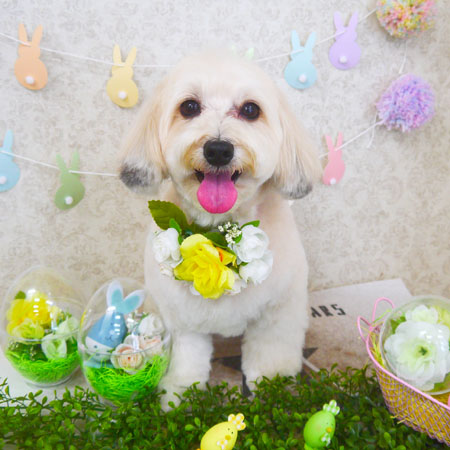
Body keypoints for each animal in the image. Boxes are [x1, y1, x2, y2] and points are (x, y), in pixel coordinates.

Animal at [119, 50, 322, 407]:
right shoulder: (179, 316)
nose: (218, 149)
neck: (218, 233)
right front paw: (180, 391)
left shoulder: (279, 309)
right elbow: (186, 357)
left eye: (251, 110)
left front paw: (274, 387)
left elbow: (272, 351)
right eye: (189, 107)